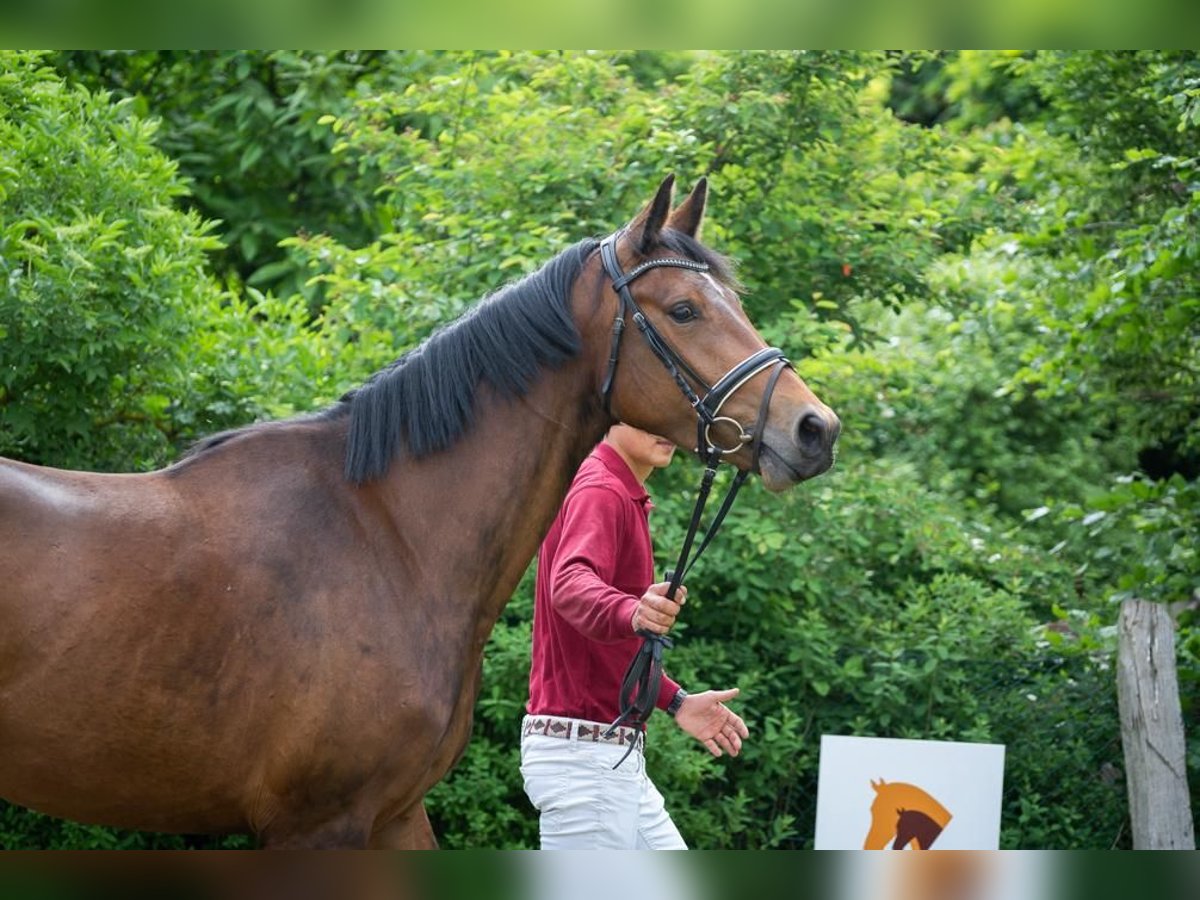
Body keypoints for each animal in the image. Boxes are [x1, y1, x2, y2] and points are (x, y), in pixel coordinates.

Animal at [0, 174, 840, 844]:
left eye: (734, 302)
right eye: (685, 309)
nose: (815, 428)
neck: (387, 536)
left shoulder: (394, 815)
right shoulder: (318, 827)